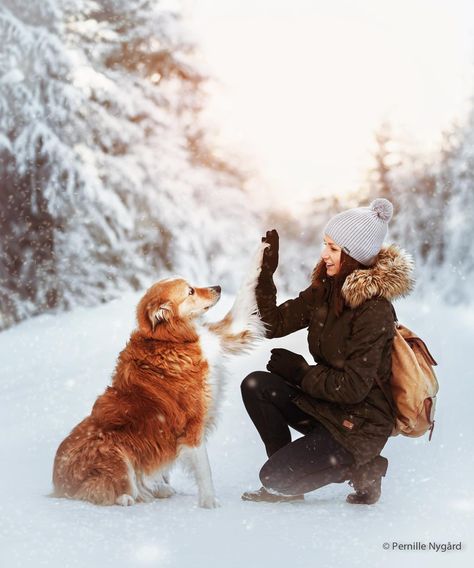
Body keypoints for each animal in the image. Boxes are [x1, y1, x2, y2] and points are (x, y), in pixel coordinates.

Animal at [52, 244, 266, 506]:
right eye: (190, 291)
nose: (218, 287)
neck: (170, 339)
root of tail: (58, 484)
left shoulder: (224, 334)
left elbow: (245, 291)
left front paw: (263, 249)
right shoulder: (192, 428)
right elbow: (205, 471)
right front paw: (209, 503)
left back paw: (156, 489)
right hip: (114, 450)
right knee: (100, 490)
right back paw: (128, 497)